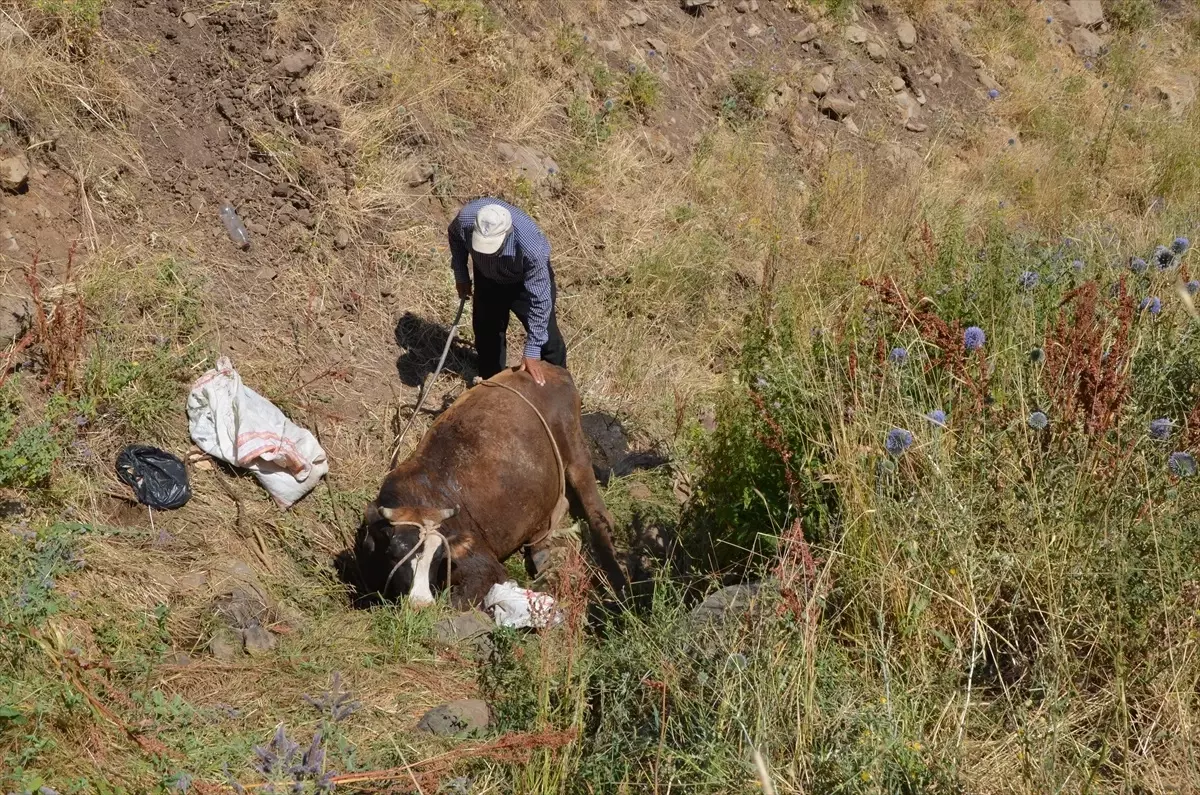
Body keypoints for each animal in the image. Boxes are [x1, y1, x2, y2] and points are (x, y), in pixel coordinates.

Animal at [357, 365, 628, 607]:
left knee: (598, 513)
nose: (420, 604)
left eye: (439, 556)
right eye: (394, 553)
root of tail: (553, 369)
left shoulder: (484, 568)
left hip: (576, 449)